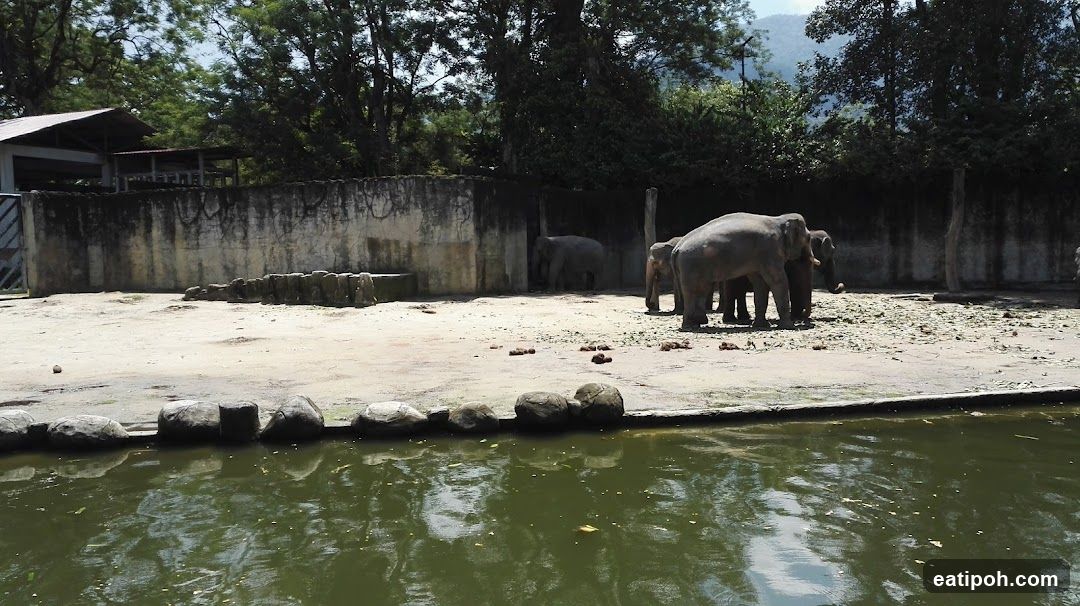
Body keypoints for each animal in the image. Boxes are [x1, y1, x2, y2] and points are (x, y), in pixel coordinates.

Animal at [671, 212, 818, 330]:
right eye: (808, 238)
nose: (804, 320)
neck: (779, 219)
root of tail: (677, 248)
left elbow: (760, 284)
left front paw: (761, 326)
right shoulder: (770, 250)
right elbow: (778, 280)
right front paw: (788, 326)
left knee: (699, 290)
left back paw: (696, 323)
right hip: (691, 265)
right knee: (694, 290)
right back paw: (691, 326)